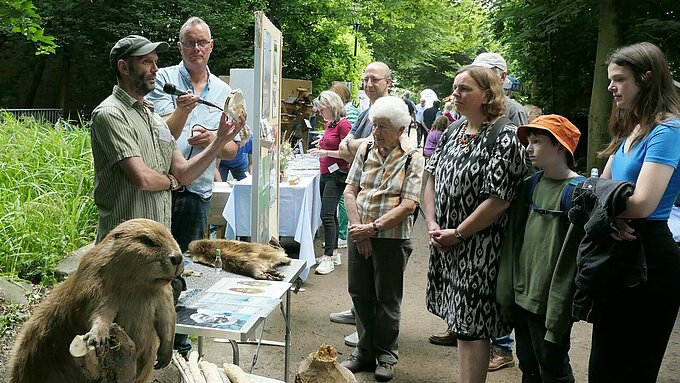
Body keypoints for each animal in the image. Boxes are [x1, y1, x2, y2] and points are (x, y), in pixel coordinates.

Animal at [8, 219, 183, 383]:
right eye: (147, 240)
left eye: (171, 235)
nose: (178, 258)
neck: (136, 287)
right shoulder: (94, 281)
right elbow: (100, 312)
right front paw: (97, 338)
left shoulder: (164, 294)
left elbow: (168, 318)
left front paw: (164, 357)